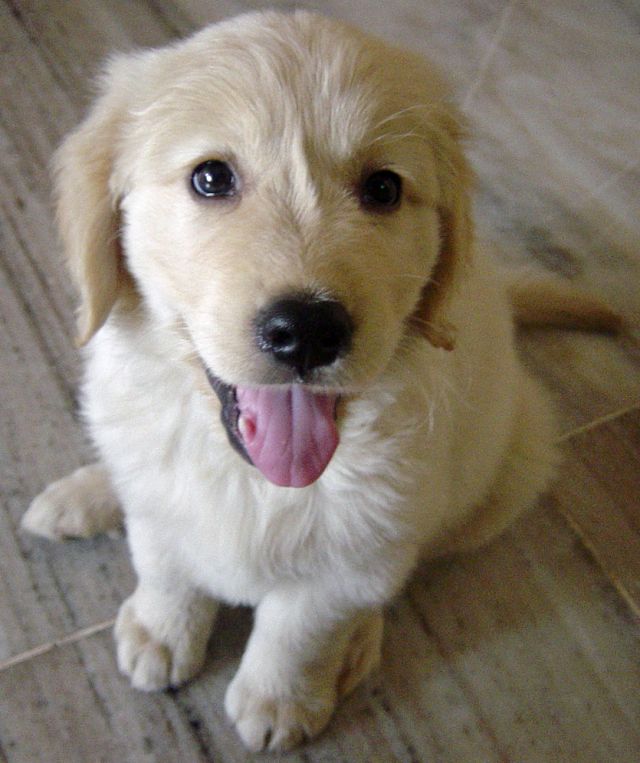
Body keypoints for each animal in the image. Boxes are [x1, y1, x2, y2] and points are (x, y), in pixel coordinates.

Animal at [21, 10, 560, 752]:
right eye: (211, 178)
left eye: (384, 188)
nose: (307, 330)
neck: (253, 476)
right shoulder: (162, 504)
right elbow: (164, 561)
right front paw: (163, 629)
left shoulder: (358, 553)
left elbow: (303, 626)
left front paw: (279, 698)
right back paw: (84, 495)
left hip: (510, 470)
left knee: (418, 558)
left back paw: (360, 642)